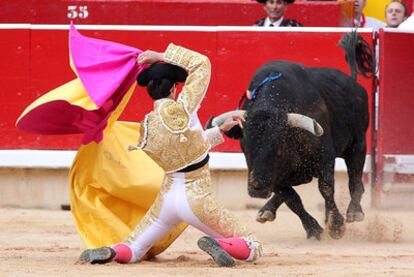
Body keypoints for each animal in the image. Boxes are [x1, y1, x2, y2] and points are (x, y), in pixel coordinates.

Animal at [207, 61, 368, 239]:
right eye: (244, 146)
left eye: (279, 146)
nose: (257, 188)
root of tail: (354, 83)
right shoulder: (274, 177)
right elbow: (291, 198)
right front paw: (313, 229)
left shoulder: (325, 155)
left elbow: (326, 188)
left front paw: (336, 226)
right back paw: (267, 211)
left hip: (358, 145)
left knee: (355, 180)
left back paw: (354, 212)